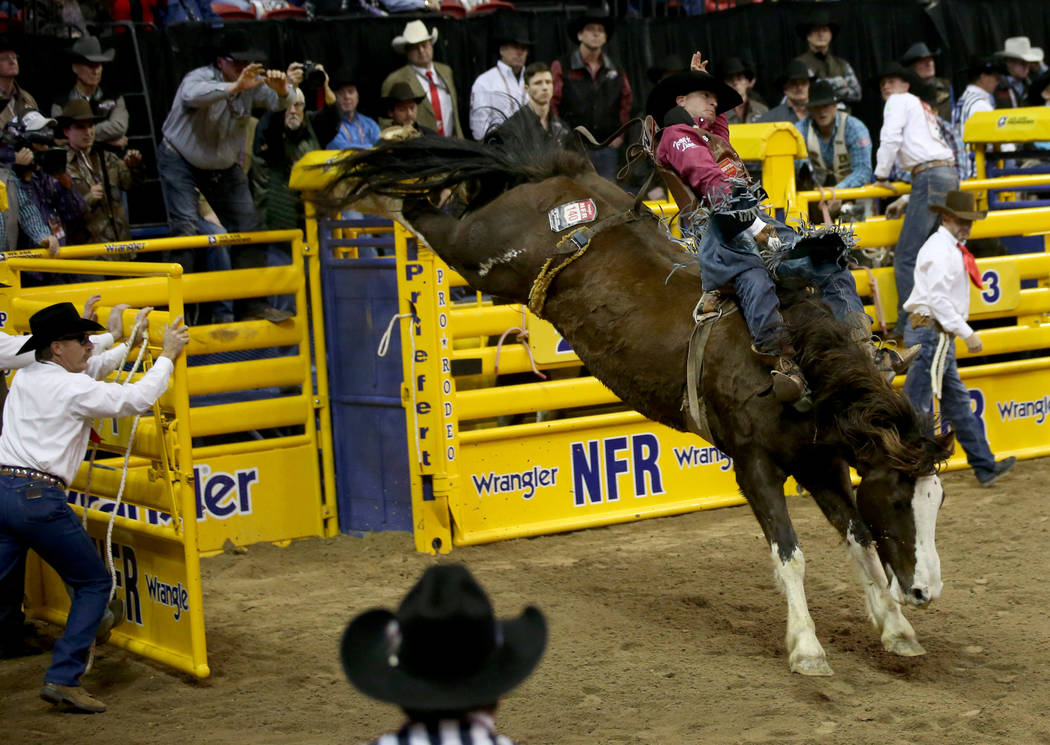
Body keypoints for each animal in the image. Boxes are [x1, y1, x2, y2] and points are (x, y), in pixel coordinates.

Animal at [323, 134, 957, 675]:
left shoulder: (820, 463)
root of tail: (561, 176)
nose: (927, 591)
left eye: (937, 500)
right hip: (484, 256)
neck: (796, 366)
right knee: (427, 216)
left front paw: (897, 630)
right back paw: (373, 192)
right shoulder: (754, 462)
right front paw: (806, 648)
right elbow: (791, 555)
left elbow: (859, 542)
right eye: (898, 498)